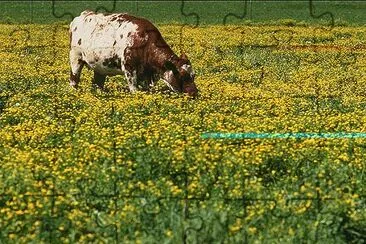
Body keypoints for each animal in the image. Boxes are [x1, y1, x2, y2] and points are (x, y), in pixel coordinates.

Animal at [70, 10, 199, 96]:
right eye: (182, 76)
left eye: (193, 75)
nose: (194, 93)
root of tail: (85, 14)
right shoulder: (129, 68)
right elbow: (134, 90)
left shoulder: (146, 76)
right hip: (75, 59)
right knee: (73, 80)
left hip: (100, 65)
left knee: (98, 83)